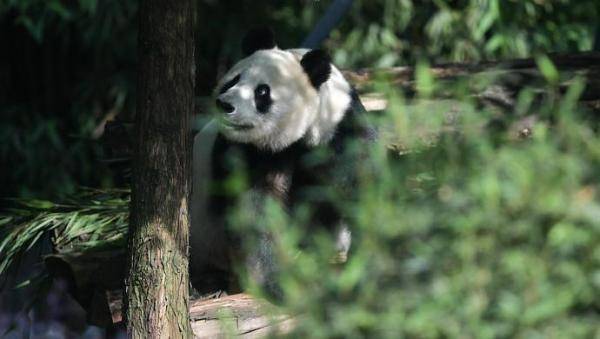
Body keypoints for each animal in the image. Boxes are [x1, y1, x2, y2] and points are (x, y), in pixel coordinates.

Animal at [190, 27, 376, 298]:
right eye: (233, 80)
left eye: (262, 91)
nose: (225, 104)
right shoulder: (247, 152)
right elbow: (256, 210)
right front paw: (278, 281)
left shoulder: (341, 128)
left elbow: (363, 187)